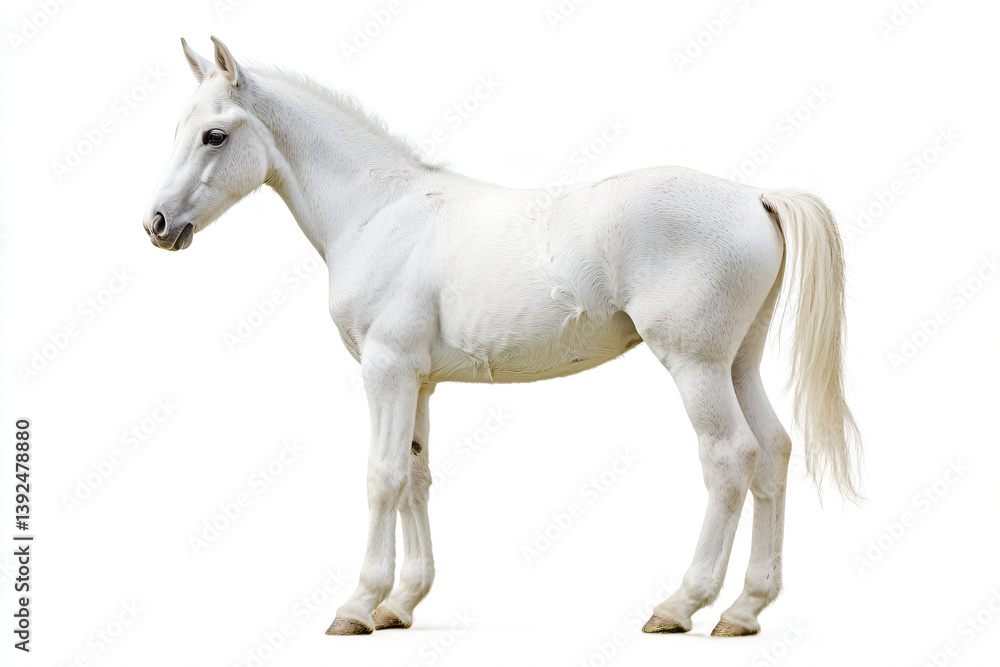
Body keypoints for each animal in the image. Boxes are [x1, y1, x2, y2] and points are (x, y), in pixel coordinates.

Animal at [142, 36, 862, 637]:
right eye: (178, 128)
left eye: (213, 134)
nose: (156, 223)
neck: (379, 214)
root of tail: (755, 196)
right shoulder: (420, 381)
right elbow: (416, 475)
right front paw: (401, 603)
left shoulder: (387, 369)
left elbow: (381, 476)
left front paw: (358, 605)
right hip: (738, 363)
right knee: (774, 452)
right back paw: (745, 609)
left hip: (695, 366)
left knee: (730, 457)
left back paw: (681, 604)